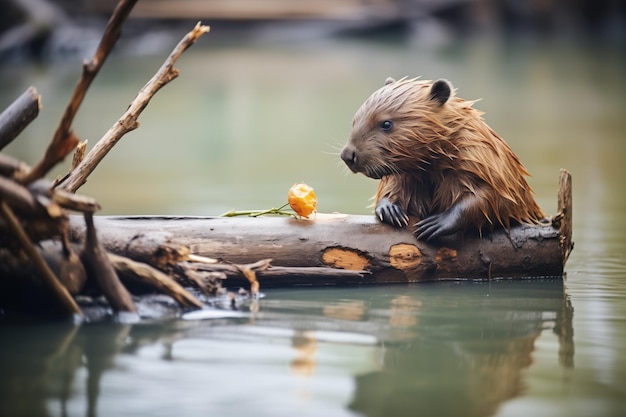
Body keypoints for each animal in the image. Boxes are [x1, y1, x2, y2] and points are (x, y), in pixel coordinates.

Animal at [338, 77, 544, 240]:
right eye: (355, 120)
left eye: (386, 123)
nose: (348, 155)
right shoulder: (409, 174)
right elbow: (392, 184)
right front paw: (390, 210)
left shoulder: (480, 157)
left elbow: (494, 196)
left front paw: (434, 224)